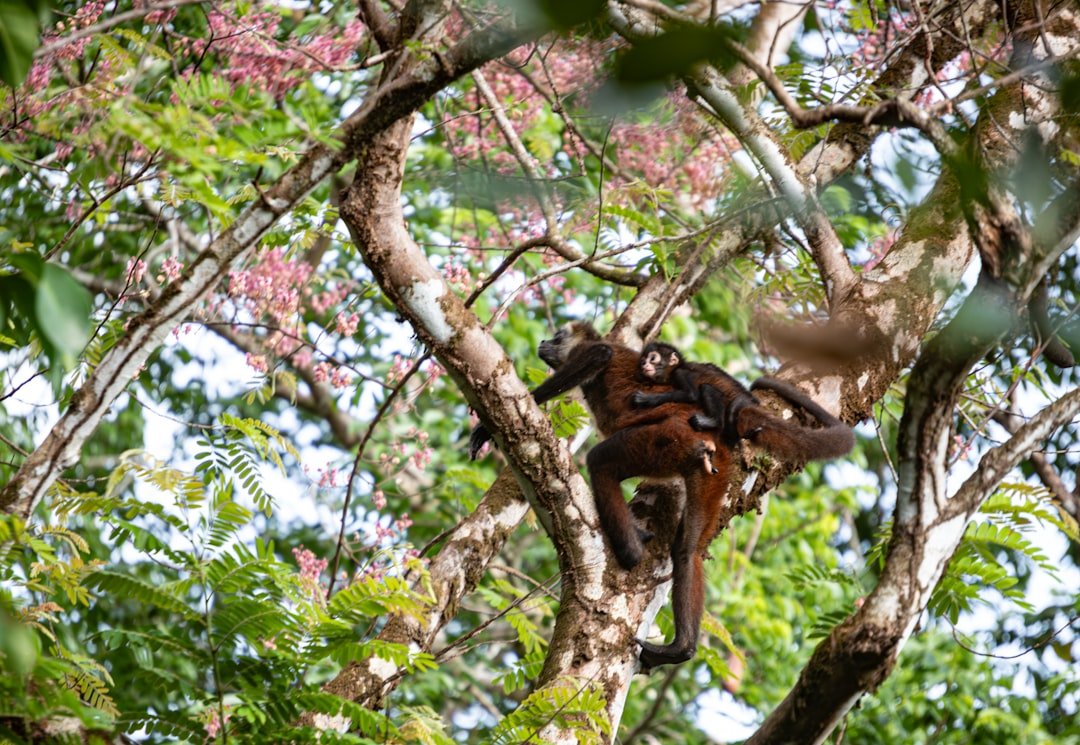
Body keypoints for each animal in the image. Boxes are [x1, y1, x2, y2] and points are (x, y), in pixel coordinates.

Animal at [470, 321, 734, 665]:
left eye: (557, 337)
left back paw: (631, 550)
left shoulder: (590, 351)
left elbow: (601, 354)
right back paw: (683, 648)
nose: (543, 341)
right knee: (688, 551)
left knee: (600, 461)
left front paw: (491, 425)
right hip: (712, 472)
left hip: (665, 438)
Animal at [630, 341, 851, 457]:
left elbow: (691, 394)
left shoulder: (681, 373)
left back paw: (715, 424)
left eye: (653, 358)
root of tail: (752, 401)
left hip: (737, 405)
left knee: (707, 391)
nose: (644, 365)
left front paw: (646, 399)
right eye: (643, 361)